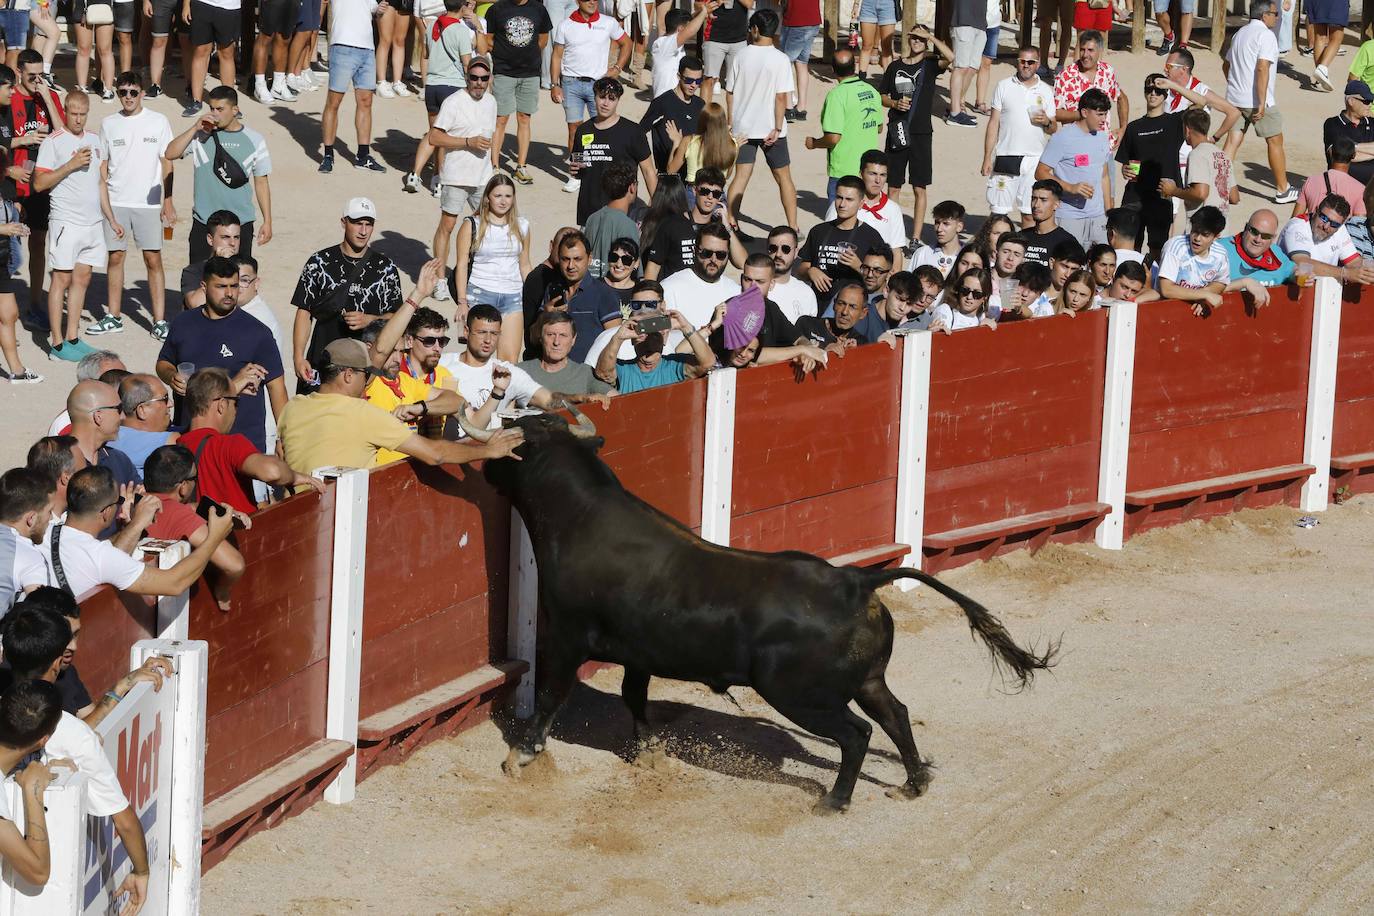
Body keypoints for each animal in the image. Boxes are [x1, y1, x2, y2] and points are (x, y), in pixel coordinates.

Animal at [467, 406, 1055, 807]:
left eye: (515, 441)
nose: (483, 462)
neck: (581, 517)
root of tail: (855, 580)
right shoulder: (640, 650)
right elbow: (634, 698)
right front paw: (651, 750)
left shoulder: (566, 636)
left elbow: (550, 696)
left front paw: (521, 756)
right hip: (867, 680)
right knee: (897, 715)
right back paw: (912, 784)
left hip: (797, 693)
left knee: (857, 733)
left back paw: (834, 800)